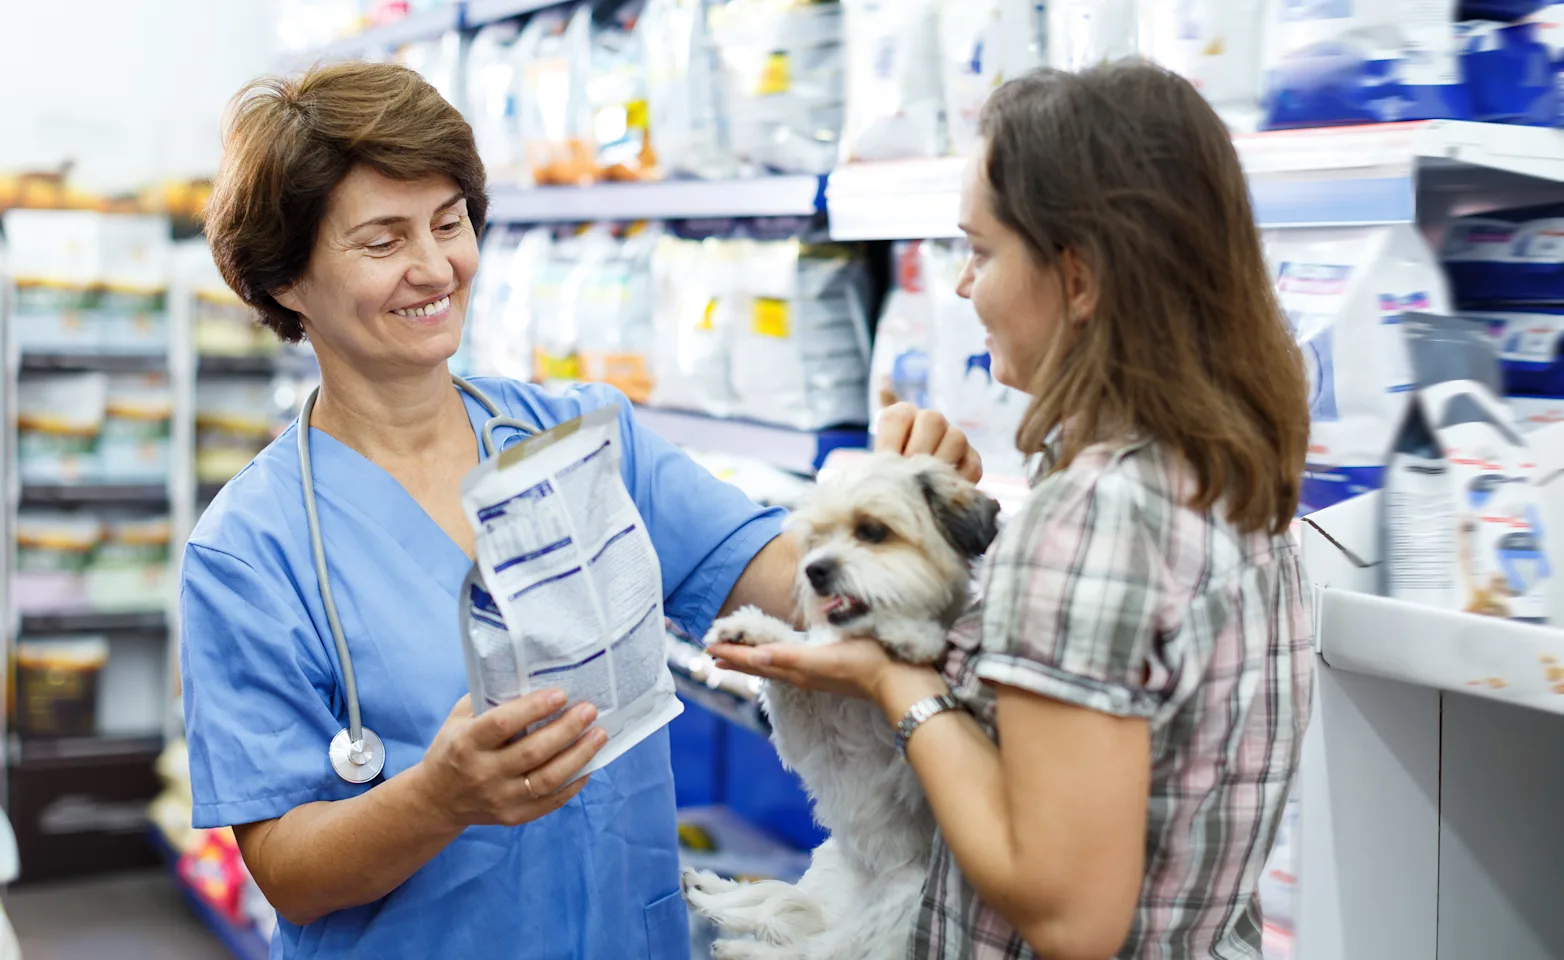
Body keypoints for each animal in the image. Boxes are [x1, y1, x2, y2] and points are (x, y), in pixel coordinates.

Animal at [685, 456, 1000, 960]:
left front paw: (910, 634)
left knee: (816, 950)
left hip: (905, 898)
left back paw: (740, 946)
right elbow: (795, 664)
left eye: (872, 531)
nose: (814, 570)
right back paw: (710, 890)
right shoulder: (808, 731)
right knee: (782, 912)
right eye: (815, 541)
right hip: (831, 863)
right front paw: (754, 630)